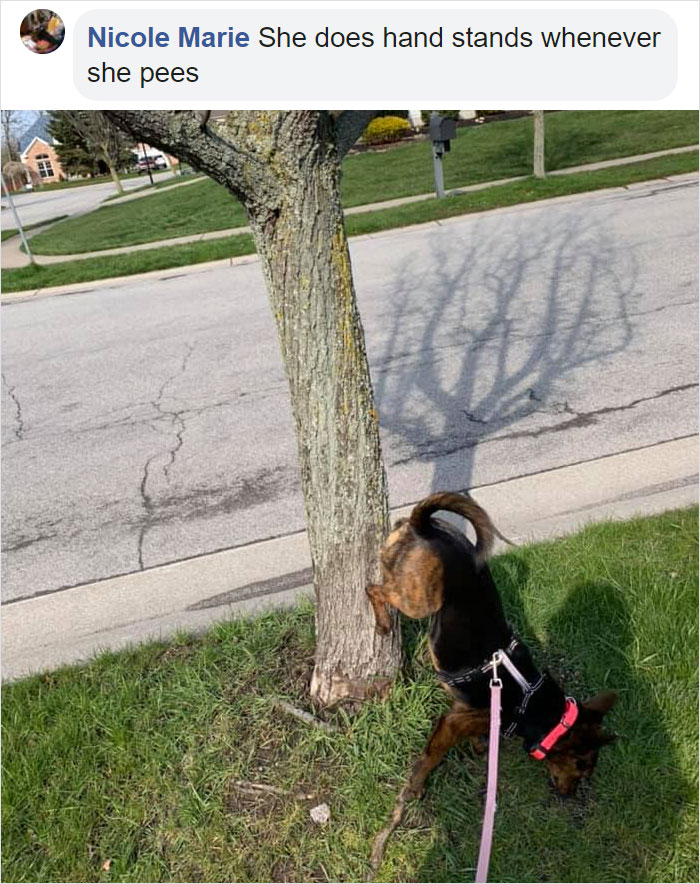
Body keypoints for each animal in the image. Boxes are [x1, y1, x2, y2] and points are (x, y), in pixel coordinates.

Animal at [366, 490, 616, 800]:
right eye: (582, 767)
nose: (568, 795)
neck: (531, 702)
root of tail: (423, 525)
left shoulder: (460, 711)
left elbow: (471, 734)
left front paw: (478, 747)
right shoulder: (451, 725)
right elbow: (429, 759)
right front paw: (413, 790)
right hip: (420, 601)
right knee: (373, 588)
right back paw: (383, 622)